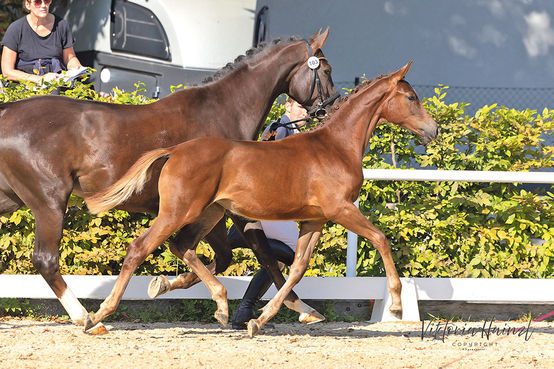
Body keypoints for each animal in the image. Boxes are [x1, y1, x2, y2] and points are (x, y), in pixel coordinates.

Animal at [0, 28, 336, 332]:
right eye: (326, 70)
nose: (332, 107)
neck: (223, 112)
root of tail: (8, 112)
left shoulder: (212, 210)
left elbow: (222, 256)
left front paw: (166, 285)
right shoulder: (230, 207)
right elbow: (262, 253)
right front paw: (301, 308)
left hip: (11, 198)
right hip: (49, 201)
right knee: (45, 259)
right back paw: (88, 319)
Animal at [85, 61, 436, 334]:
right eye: (411, 97)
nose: (434, 130)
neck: (335, 147)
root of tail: (175, 150)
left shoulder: (315, 219)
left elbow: (297, 267)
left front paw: (262, 319)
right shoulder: (341, 209)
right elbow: (380, 239)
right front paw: (396, 304)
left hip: (209, 213)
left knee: (182, 246)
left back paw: (217, 303)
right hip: (178, 211)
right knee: (140, 248)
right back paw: (99, 315)